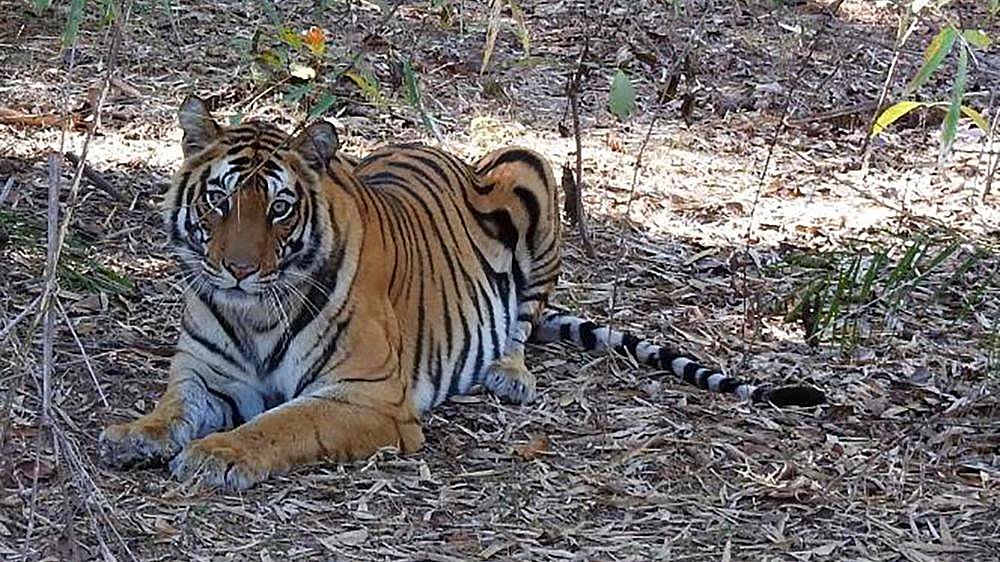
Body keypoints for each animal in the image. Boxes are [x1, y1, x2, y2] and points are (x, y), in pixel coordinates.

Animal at [98, 96, 824, 489]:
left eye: (278, 208)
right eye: (219, 200)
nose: (239, 270)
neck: (254, 313)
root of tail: (439, 149)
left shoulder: (367, 398)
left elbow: (282, 423)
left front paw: (217, 454)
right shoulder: (204, 374)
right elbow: (172, 408)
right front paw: (135, 435)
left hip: (529, 170)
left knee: (524, 321)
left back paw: (509, 374)